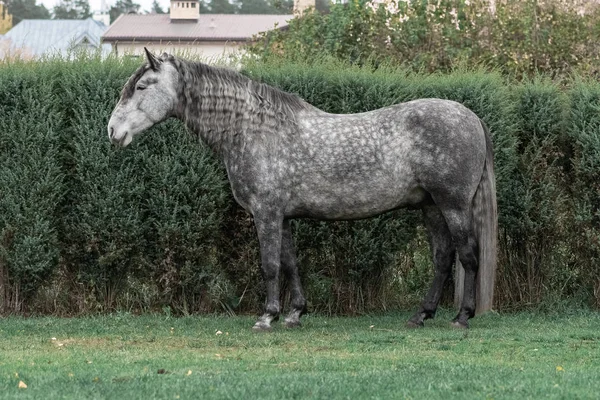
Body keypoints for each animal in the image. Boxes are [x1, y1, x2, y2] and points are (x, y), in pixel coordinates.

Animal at [106, 49, 496, 332]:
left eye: (142, 87)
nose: (112, 131)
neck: (253, 129)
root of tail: (471, 117)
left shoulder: (265, 213)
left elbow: (269, 265)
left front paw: (267, 316)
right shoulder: (283, 216)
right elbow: (290, 263)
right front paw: (295, 313)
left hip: (453, 205)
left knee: (468, 255)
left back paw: (461, 317)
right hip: (431, 207)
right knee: (442, 258)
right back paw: (421, 315)